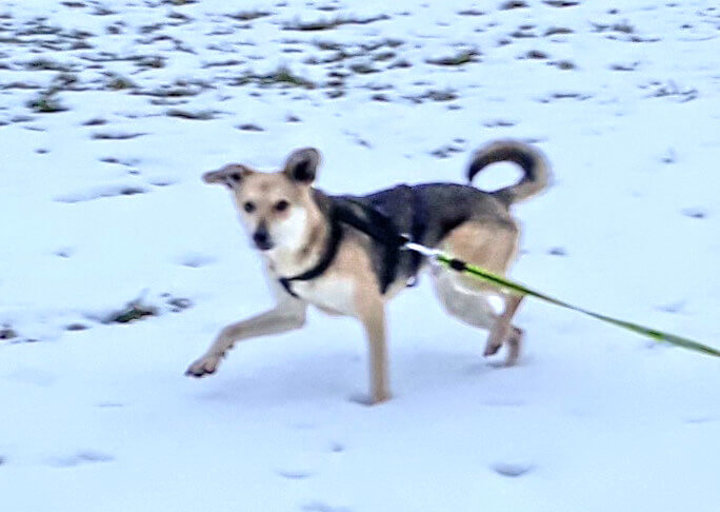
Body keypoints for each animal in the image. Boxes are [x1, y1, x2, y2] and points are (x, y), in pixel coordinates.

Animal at [186, 140, 550, 404]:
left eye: (282, 205)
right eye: (248, 206)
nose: (259, 238)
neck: (309, 245)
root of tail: (495, 197)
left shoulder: (371, 310)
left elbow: (377, 376)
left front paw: (377, 409)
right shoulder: (290, 312)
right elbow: (230, 329)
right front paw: (208, 360)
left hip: (466, 271)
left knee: (517, 293)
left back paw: (497, 338)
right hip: (457, 298)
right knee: (517, 330)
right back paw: (502, 359)